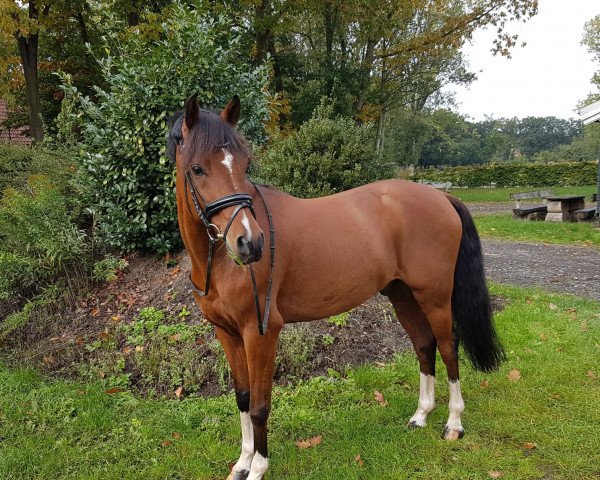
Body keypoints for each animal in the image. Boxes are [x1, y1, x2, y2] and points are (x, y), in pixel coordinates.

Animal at [170, 94, 506, 480]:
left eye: (243, 165)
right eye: (198, 169)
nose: (250, 243)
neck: (219, 262)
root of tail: (440, 198)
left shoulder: (260, 333)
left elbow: (259, 405)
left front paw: (257, 468)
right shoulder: (226, 332)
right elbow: (241, 397)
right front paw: (242, 463)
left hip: (434, 296)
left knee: (449, 347)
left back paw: (453, 423)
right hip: (402, 294)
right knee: (424, 344)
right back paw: (421, 414)